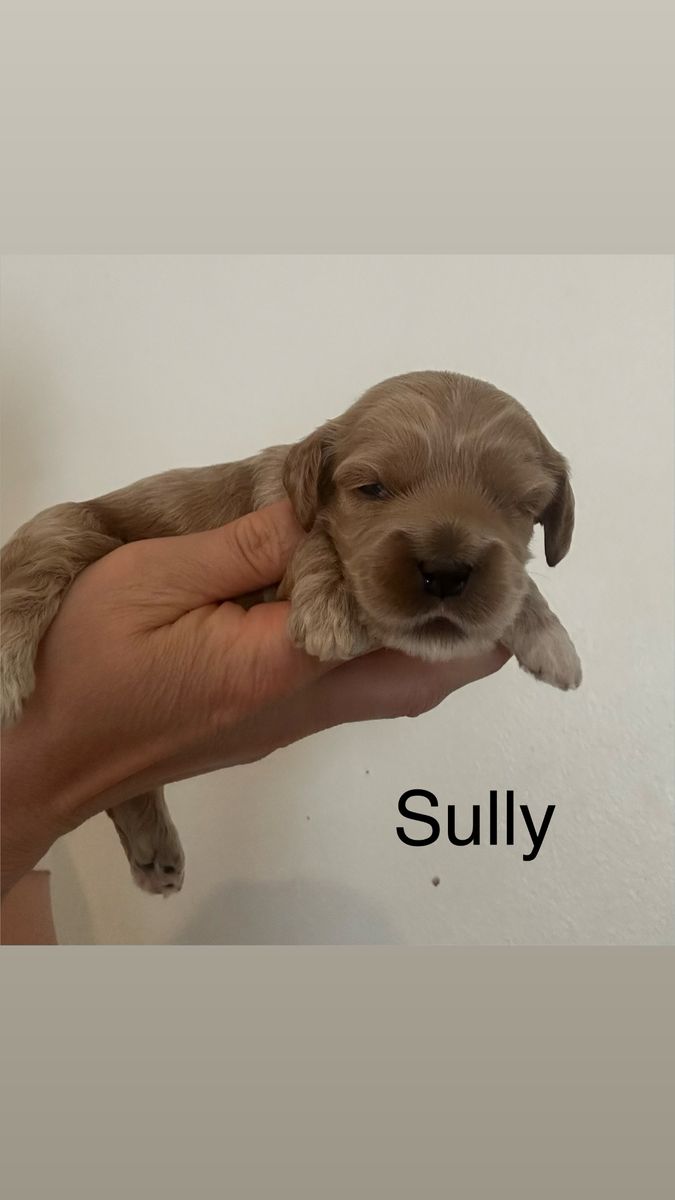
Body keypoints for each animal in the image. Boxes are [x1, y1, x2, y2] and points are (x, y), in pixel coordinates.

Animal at [1, 371, 581, 894]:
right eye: (372, 489)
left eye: (519, 505)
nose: (444, 571)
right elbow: (316, 538)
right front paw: (329, 610)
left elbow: (520, 580)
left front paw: (549, 637)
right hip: (68, 528)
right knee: (34, 573)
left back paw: (155, 855)